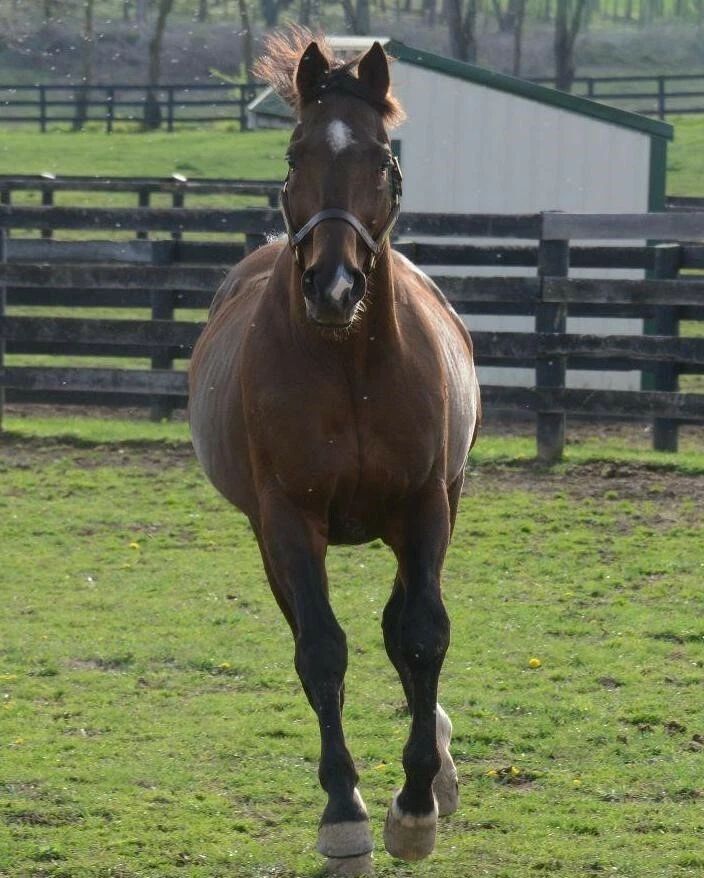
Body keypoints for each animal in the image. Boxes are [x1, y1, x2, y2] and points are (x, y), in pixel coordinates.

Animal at [188, 32, 481, 874]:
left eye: (382, 159)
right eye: (295, 154)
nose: (334, 284)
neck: (350, 361)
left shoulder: (424, 505)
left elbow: (421, 634)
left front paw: (416, 804)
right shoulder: (288, 519)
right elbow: (321, 652)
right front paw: (345, 813)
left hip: (439, 507)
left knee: (403, 628)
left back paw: (439, 765)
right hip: (270, 535)